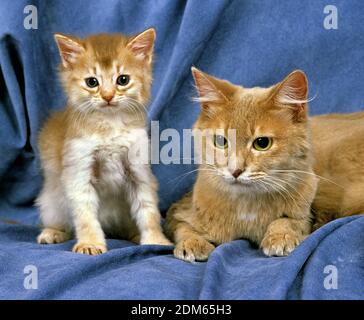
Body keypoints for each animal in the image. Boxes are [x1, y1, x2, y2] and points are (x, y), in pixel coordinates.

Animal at [35, 30, 171, 255]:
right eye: (92, 82)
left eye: (123, 80)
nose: (108, 96)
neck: (110, 126)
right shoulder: (79, 173)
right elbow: (86, 216)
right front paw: (90, 243)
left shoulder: (139, 172)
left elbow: (148, 211)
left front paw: (155, 240)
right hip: (51, 204)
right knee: (60, 222)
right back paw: (52, 233)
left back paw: (134, 235)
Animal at [164, 68, 316, 262]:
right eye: (221, 141)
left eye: (262, 143)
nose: (235, 171)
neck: (246, 206)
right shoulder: (176, 213)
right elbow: (184, 228)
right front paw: (192, 242)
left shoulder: (306, 215)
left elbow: (288, 221)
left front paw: (280, 236)